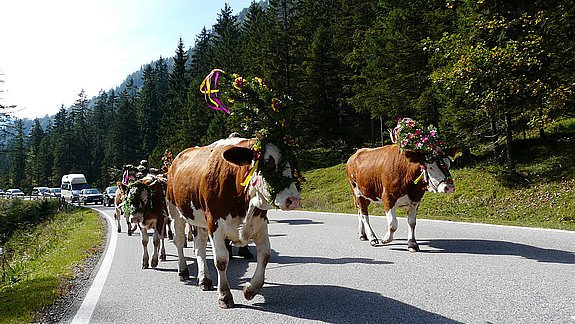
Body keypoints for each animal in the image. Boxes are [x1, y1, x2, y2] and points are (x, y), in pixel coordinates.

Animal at [165, 137, 302, 308]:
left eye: (293, 164)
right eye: (268, 162)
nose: (294, 200)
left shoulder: (260, 222)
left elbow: (265, 255)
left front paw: (250, 289)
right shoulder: (214, 222)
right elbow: (221, 260)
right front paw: (224, 295)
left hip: (199, 221)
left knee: (200, 248)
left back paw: (204, 279)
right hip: (175, 212)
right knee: (179, 241)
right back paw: (183, 271)